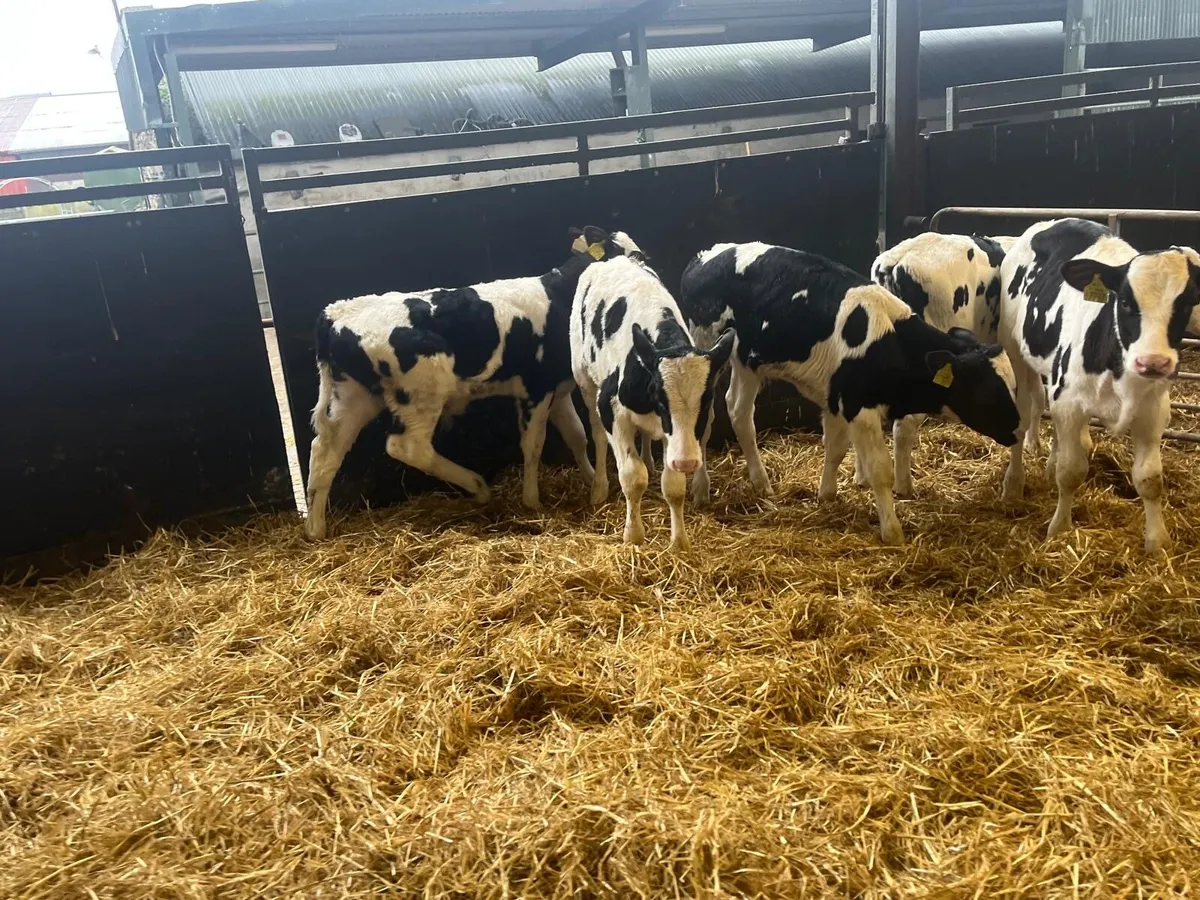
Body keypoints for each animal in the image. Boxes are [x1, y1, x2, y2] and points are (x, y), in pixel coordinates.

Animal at [304, 226, 643, 540]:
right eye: (629, 256)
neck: (558, 297)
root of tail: (336, 313)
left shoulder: (556, 390)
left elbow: (576, 435)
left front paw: (590, 478)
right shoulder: (535, 389)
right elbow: (533, 444)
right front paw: (532, 501)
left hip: (353, 396)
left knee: (325, 452)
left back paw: (316, 529)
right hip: (421, 394)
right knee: (408, 447)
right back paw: (477, 485)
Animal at [572, 254, 735, 551]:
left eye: (707, 400)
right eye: (659, 395)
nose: (687, 462)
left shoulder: (676, 434)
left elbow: (673, 485)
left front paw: (679, 541)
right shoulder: (612, 409)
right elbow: (632, 477)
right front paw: (633, 536)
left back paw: (648, 460)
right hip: (585, 381)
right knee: (598, 436)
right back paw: (599, 487)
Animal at [997, 218, 1200, 553]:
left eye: (1185, 305)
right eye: (1126, 302)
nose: (1153, 362)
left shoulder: (1153, 412)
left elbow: (1150, 480)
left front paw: (1157, 542)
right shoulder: (1068, 402)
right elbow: (1070, 472)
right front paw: (1059, 528)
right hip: (1014, 351)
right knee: (1023, 417)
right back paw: (1014, 483)